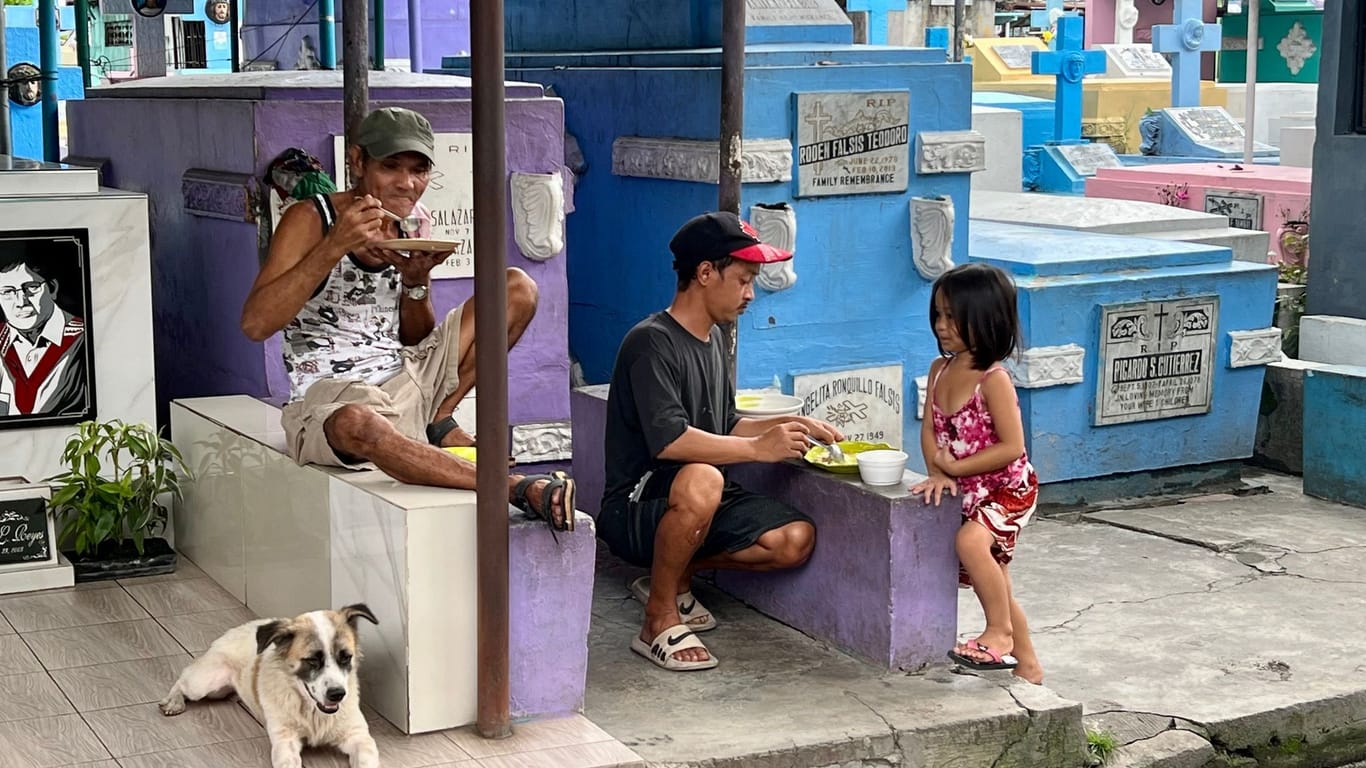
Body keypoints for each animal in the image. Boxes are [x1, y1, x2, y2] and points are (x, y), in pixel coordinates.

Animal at [158, 604, 379, 765]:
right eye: (312, 660)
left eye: (346, 657)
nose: (337, 694)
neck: (312, 712)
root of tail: (237, 628)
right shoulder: (285, 742)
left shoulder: (359, 737)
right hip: (206, 683)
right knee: (183, 679)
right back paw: (173, 702)